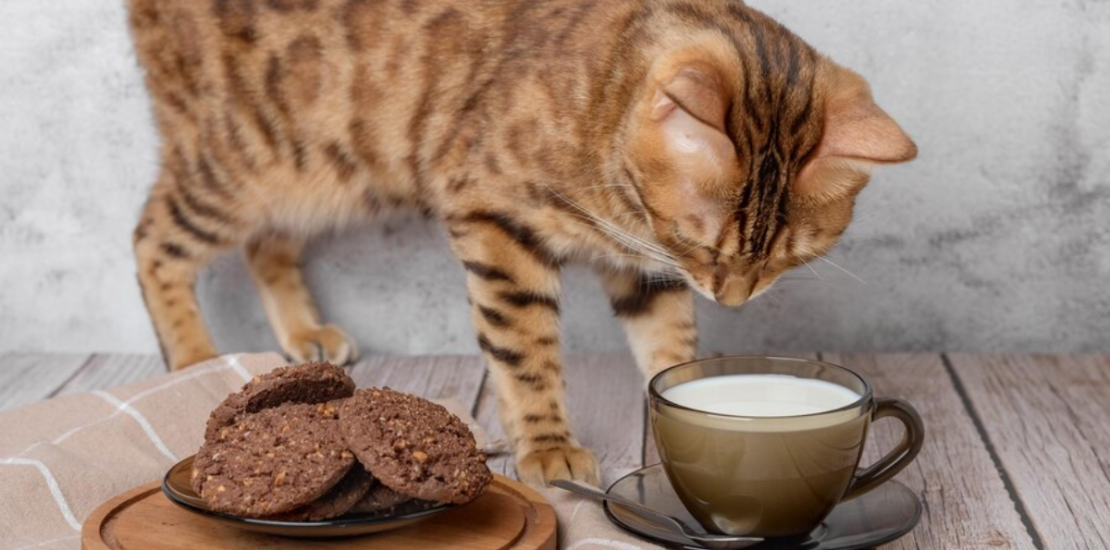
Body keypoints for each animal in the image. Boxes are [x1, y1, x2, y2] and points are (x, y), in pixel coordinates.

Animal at [125, 0, 914, 486]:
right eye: (701, 242)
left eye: (786, 258)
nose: (733, 296)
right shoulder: (496, 219)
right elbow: (523, 349)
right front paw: (548, 444)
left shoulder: (646, 268)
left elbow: (668, 342)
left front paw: (685, 397)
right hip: (239, 160)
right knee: (152, 240)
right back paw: (194, 363)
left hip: (313, 175)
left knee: (264, 244)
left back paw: (303, 333)